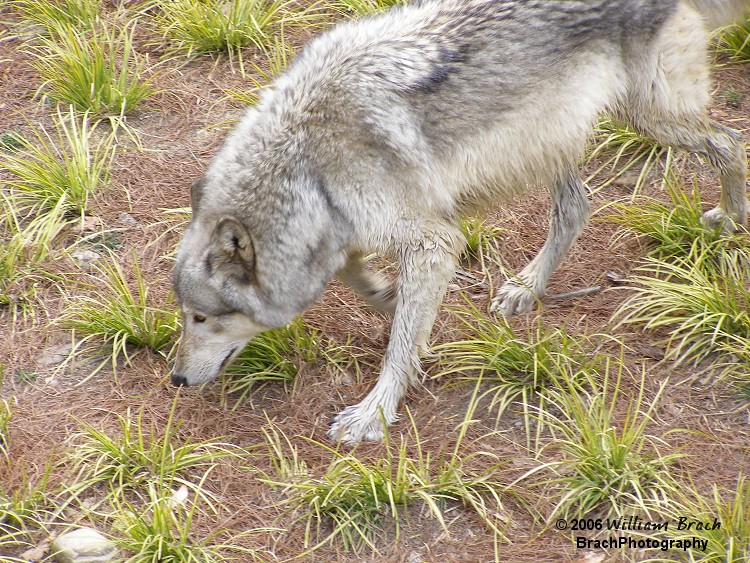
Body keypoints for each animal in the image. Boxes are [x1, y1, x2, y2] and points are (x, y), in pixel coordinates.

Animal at [172, 0, 750, 446]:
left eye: (201, 318)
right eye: (183, 316)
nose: (176, 378)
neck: (307, 163)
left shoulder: (434, 240)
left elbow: (397, 349)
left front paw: (373, 413)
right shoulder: (360, 231)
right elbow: (363, 280)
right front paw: (389, 298)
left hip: (648, 117)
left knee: (730, 142)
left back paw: (729, 218)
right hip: (555, 136)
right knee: (576, 209)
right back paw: (524, 289)